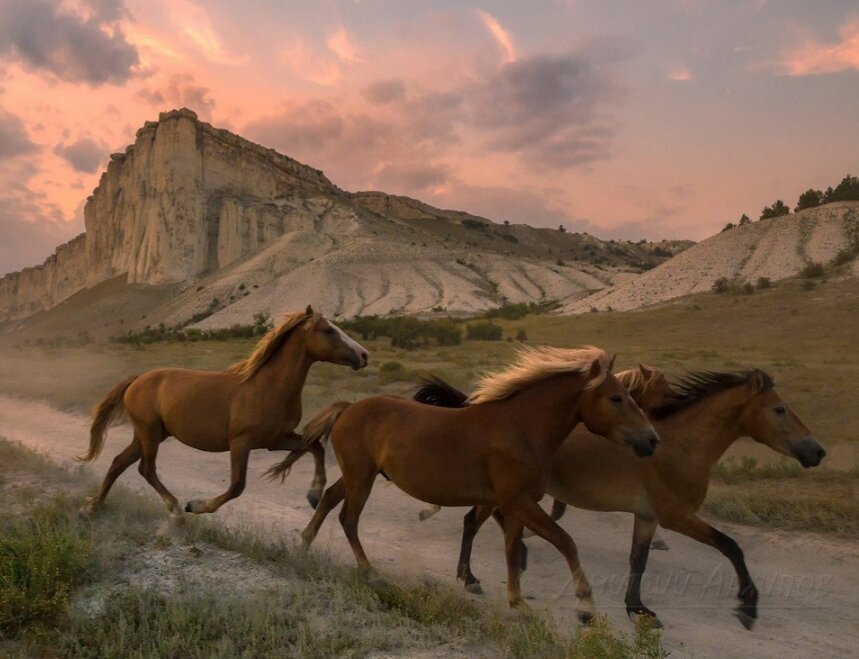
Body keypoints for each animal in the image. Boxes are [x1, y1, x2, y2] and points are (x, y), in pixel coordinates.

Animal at [76, 306, 366, 520]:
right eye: (328, 330)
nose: (363, 355)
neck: (267, 387)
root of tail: (137, 380)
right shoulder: (241, 442)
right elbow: (237, 486)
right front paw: (196, 506)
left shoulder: (276, 440)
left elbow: (315, 447)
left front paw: (314, 494)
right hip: (149, 432)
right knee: (145, 469)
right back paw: (175, 509)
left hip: (149, 434)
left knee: (119, 463)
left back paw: (93, 507)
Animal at [272, 346, 660, 624]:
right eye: (616, 398)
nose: (652, 440)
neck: (521, 428)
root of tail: (349, 407)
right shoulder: (519, 502)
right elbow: (565, 542)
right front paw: (586, 604)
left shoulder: (512, 504)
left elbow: (511, 549)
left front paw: (515, 601)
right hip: (361, 478)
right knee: (348, 519)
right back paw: (369, 572)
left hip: (357, 475)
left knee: (328, 500)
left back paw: (304, 546)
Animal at [414, 368, 828, 632]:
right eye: (779, 409)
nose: (818, 451)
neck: (679, 447)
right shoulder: (676, 516)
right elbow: (731, 546)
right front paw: (747, 606)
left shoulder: (647, 517)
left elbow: (638, 561)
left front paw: (638, 610)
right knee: (473, 521)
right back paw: (470, 576)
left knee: (480, 521)